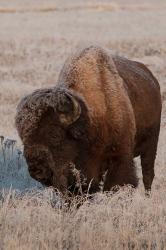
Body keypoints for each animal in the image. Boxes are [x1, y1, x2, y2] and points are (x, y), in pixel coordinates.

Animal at [15, 45, 161, 193]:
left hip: (151, 144)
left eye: (54, 135)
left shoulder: (120, 156)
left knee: (148, 175)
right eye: (23, 138)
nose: (36, 170)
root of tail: (152, 79)